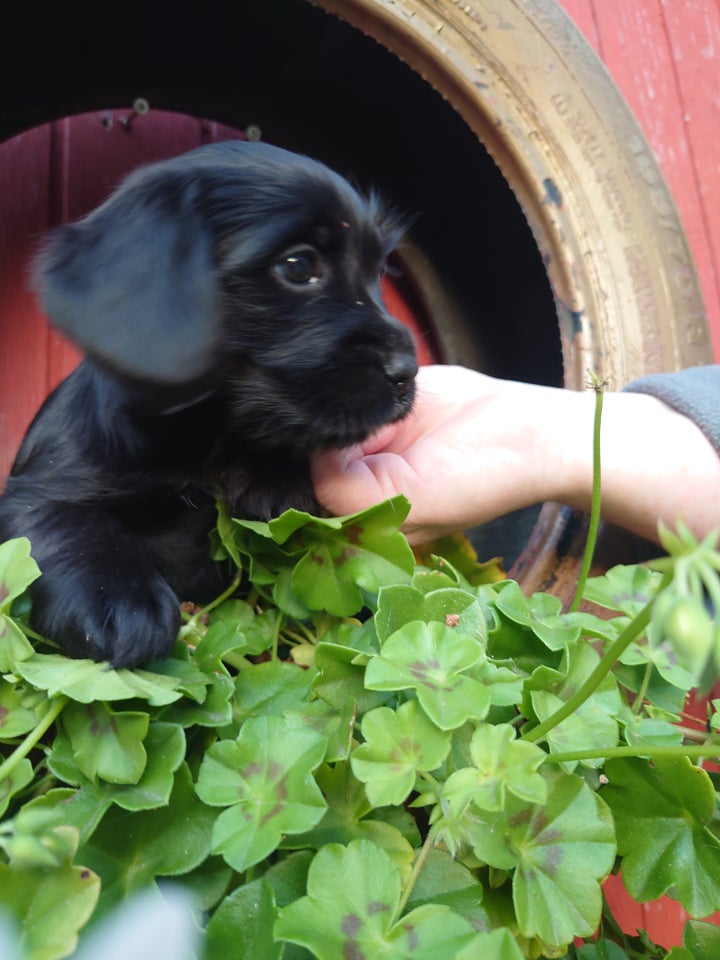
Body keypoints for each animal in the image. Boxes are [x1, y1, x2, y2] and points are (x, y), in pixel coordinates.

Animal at [0, 141, 416, 668]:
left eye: (378, 271)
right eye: (298, 266)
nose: (407, 371)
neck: (213, 440)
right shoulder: (41, 491)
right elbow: (67, 527)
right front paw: (120, 602)